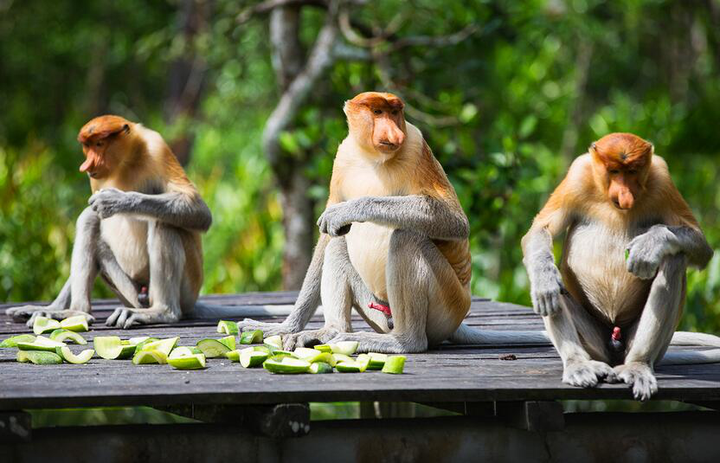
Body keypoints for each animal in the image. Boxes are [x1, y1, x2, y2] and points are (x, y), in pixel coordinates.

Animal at [239, 90, 548, 352]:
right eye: (377, 112)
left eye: (395, 112)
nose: (394, 133)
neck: (372, 158)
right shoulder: (342, 156)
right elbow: (327, 238)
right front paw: (283, 327)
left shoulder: (416, 144)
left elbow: (455, 220)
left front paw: (348, 210)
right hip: (376, 307)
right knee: (338, 246)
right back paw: (329, 331)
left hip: (448, 305)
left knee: (406, 238)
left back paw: (403, 342)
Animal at [524, 132, 720, 400]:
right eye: (614, 171)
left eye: (633, 171)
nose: (625, 194)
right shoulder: (577, 175)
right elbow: (539, 230)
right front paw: (545, 283)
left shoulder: (662, 179)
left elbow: (700, 245)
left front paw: (649, 245)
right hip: (594, 342)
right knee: (555, 286)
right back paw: (579, 365)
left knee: (674, 260)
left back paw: (637, 366)